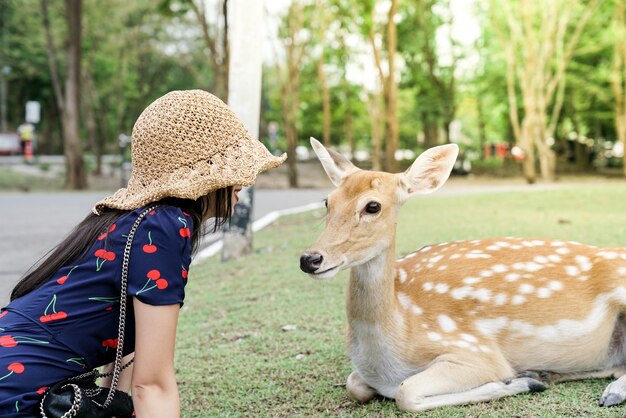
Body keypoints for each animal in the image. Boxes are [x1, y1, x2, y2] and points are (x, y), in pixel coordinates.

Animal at [298, 138, 626, 412]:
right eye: (327, 201)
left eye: (372, 205)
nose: (310, 258)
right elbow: (355, 386)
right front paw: (531, 378)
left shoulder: (474, 349)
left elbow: (407, 393)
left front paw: (520, 382)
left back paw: (605, 391)